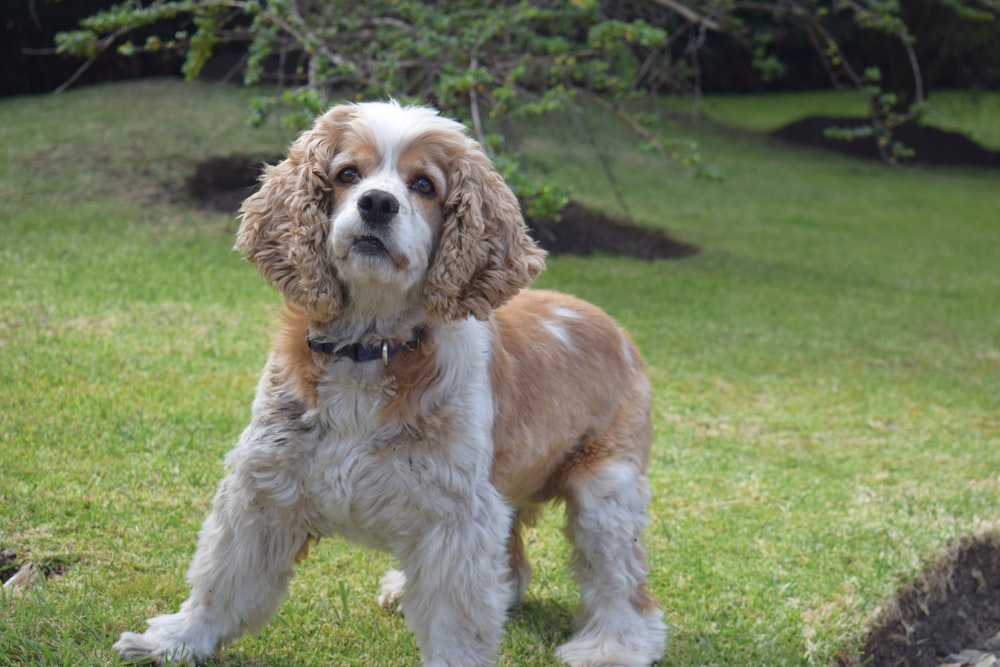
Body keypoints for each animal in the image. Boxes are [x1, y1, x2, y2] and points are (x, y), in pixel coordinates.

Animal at [113, 100, 668, 667]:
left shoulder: (457, 518)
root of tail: (613, 325)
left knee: (622, 586)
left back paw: (613, 646)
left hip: (606, 491)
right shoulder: (264, 484)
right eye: (346, 174)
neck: (368, 349)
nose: (377, 202)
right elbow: (222, 578)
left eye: (424, 184)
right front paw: (176, 640)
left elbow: (456, 629)